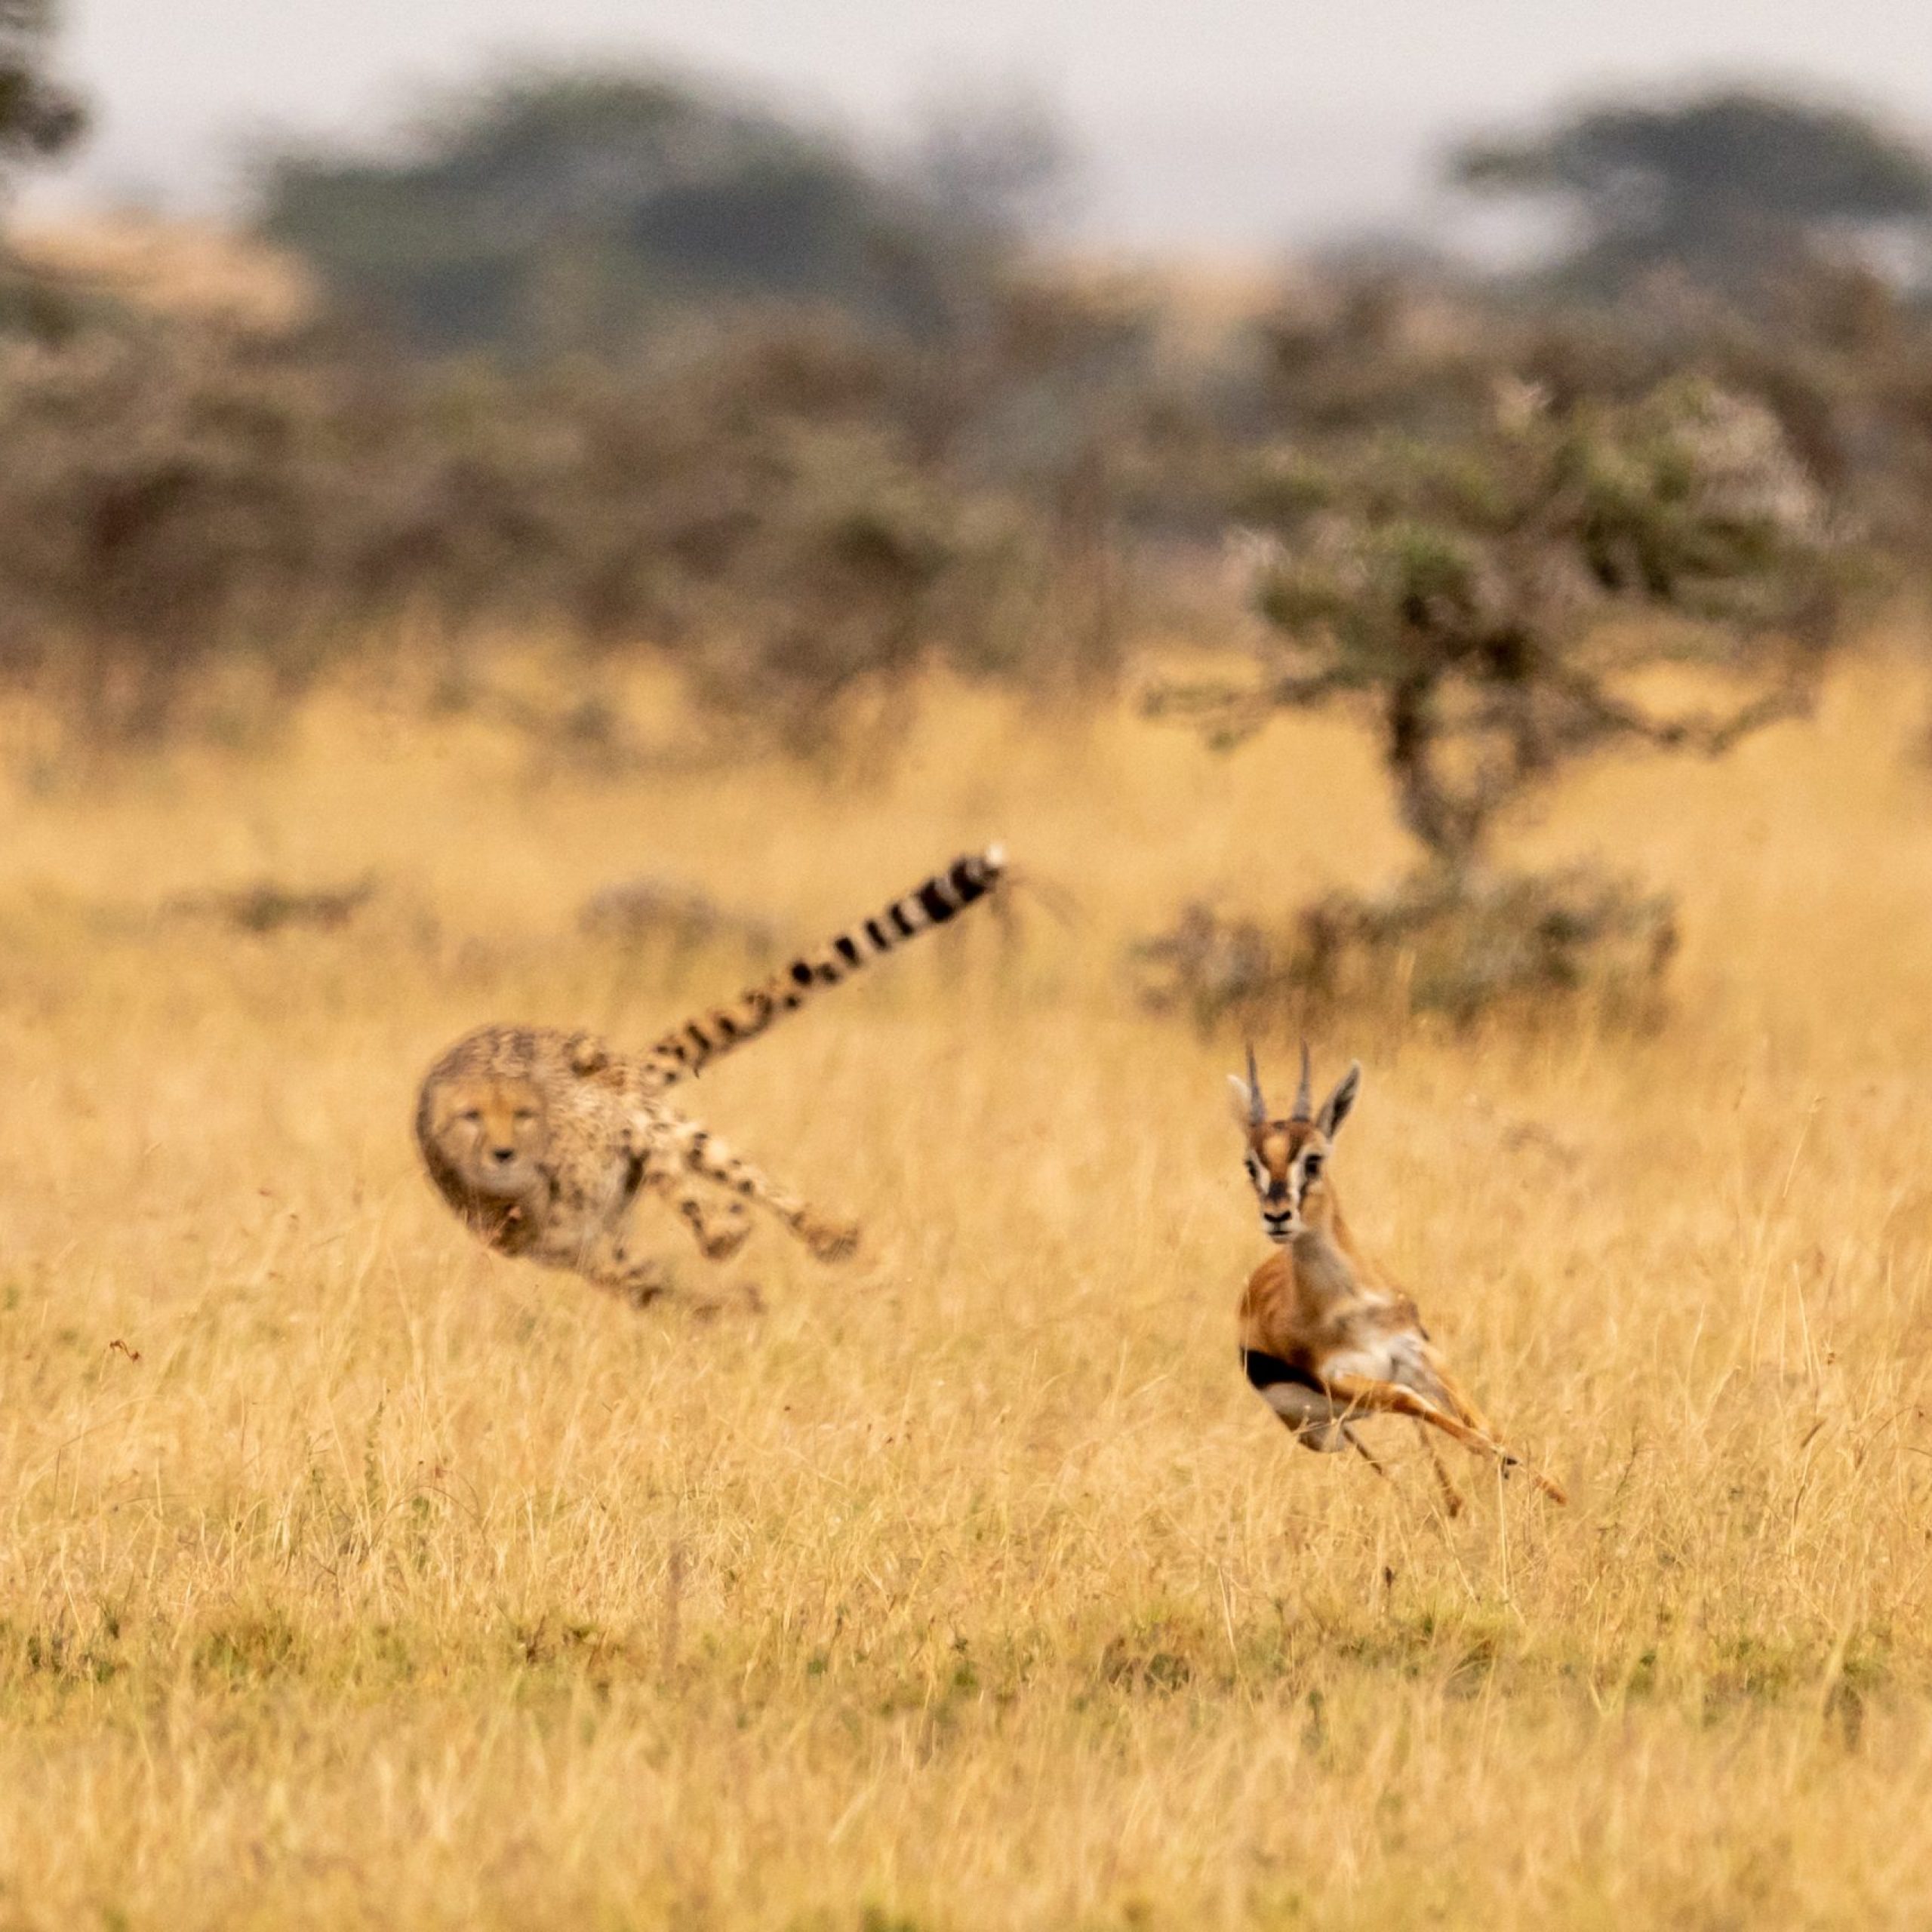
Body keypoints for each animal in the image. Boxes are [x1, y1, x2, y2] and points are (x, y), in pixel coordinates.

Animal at [1229, 1045, 1565, 1510]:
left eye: (1313, 1159)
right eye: (1251, 1165)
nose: (1277, 1217)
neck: (1346, 1305)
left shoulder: (1415, 1353)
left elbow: (1478, 1422)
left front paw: (1556, 1491)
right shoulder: (1343, 1380)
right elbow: (1426, 1408)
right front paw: (1509, 1465)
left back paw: (1455, 1502)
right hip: (1324, 1433)